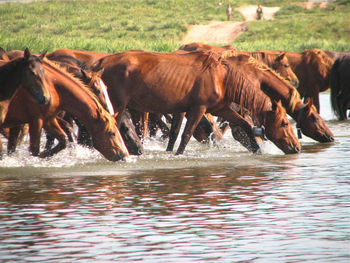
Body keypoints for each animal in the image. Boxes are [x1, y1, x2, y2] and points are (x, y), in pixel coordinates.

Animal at [91, 50, 300, 155]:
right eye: (284, 123)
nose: (296, 148)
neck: (222, 77)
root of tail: (101, 62)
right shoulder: (198, 108)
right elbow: (185, 135)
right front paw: (178, 155)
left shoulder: (221, 108)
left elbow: (245, 125)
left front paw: (257, 150)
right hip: (117, 106)